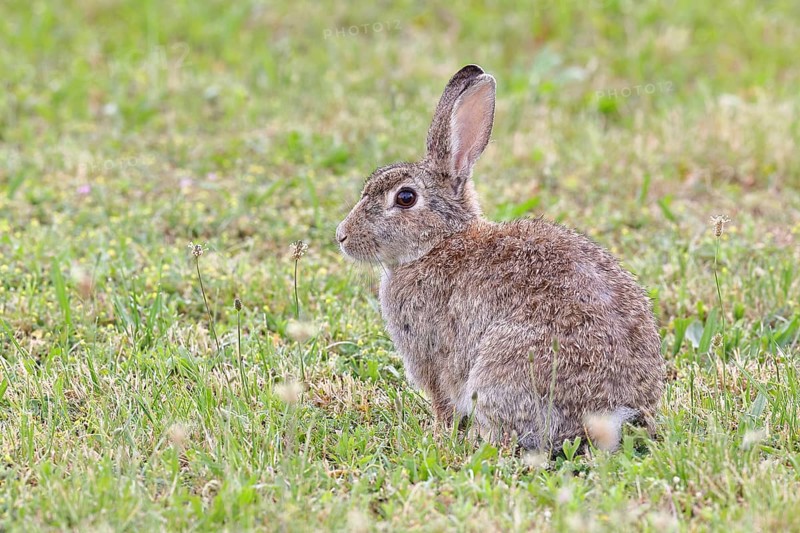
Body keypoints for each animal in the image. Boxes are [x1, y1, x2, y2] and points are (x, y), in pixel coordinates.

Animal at [336, 65, 665, 452]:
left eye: (405, 198)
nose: (342, 235)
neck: (438, 243)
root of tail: (610, 414)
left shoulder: (431, 358)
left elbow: (442, 402)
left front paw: (437, 433)